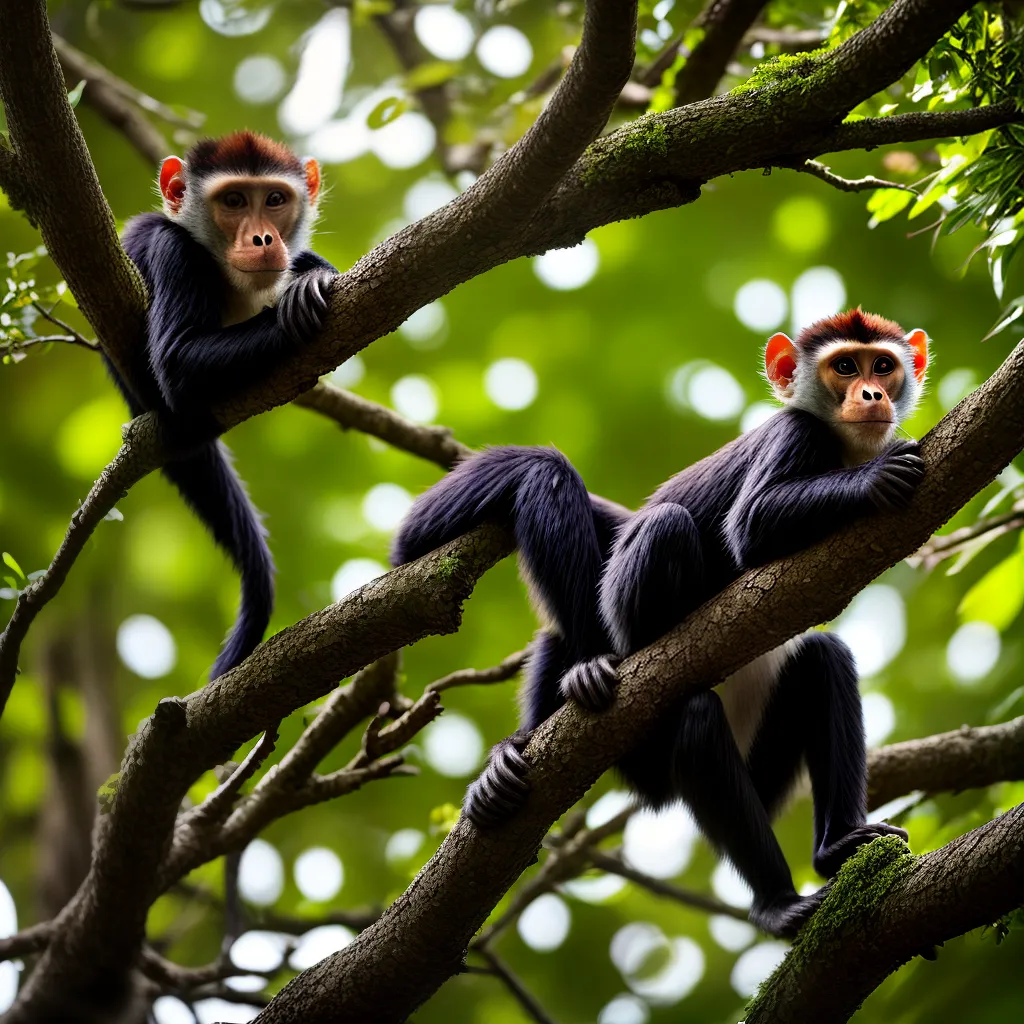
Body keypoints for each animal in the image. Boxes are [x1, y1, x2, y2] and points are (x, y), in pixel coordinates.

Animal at [111, 131, 337, 679]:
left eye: (274, 200)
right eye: (233, 201)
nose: (263, 240)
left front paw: (313, 274)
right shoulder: (172, 252)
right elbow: (177, 360)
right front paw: (303, 292)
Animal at [392, 309, 928, 937]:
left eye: (882, 366)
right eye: (845, 366)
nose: (870, 394)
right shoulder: (796, 434)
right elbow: (751, 527)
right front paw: (876, 478)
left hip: (764, 771)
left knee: (823, 660)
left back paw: (836, 847)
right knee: (663, 554)